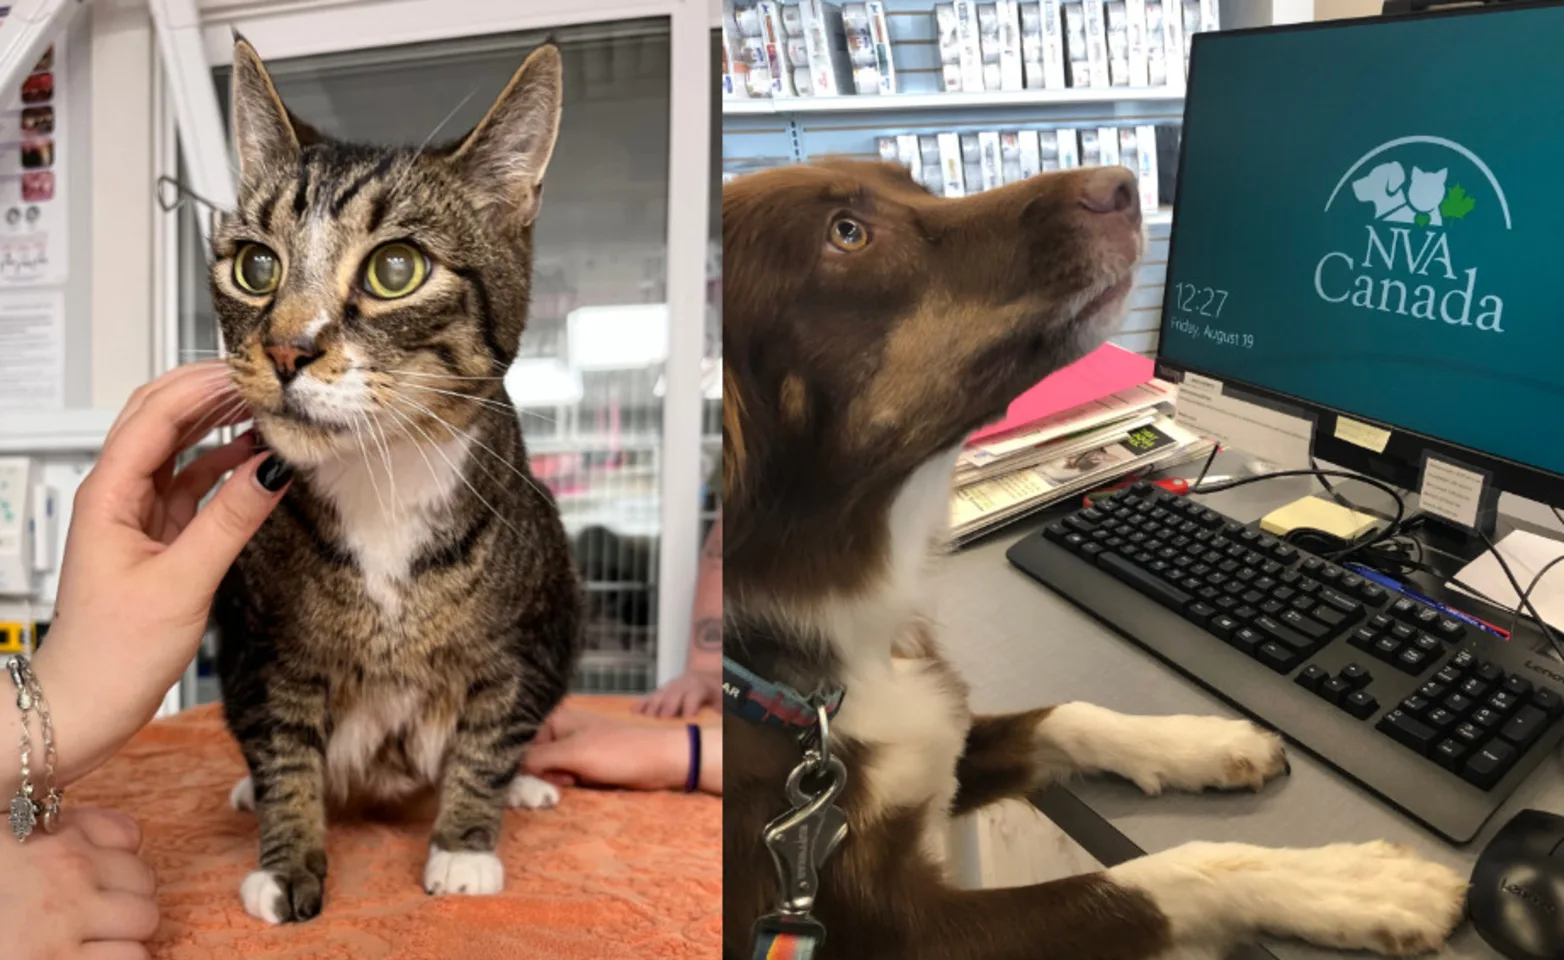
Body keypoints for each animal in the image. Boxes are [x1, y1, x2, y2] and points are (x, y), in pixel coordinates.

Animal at [204, 39, 578, 925]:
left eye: (396, 269)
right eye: (255, 264)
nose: (286, 349)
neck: (383, 478)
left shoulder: (526, 644)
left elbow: (490, 739)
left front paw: (465, 847)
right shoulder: (261, 649)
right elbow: (283, 749)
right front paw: (286, 861)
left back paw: (527, 789)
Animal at [719, 161, 1463, 956]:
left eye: (912, 182)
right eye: (848, 234)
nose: (1124, 184)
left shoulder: (944, 735)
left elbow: (1065, 717)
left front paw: (1206, 740)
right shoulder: (899, 928)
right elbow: (1156, 879)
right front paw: (1348, 883)